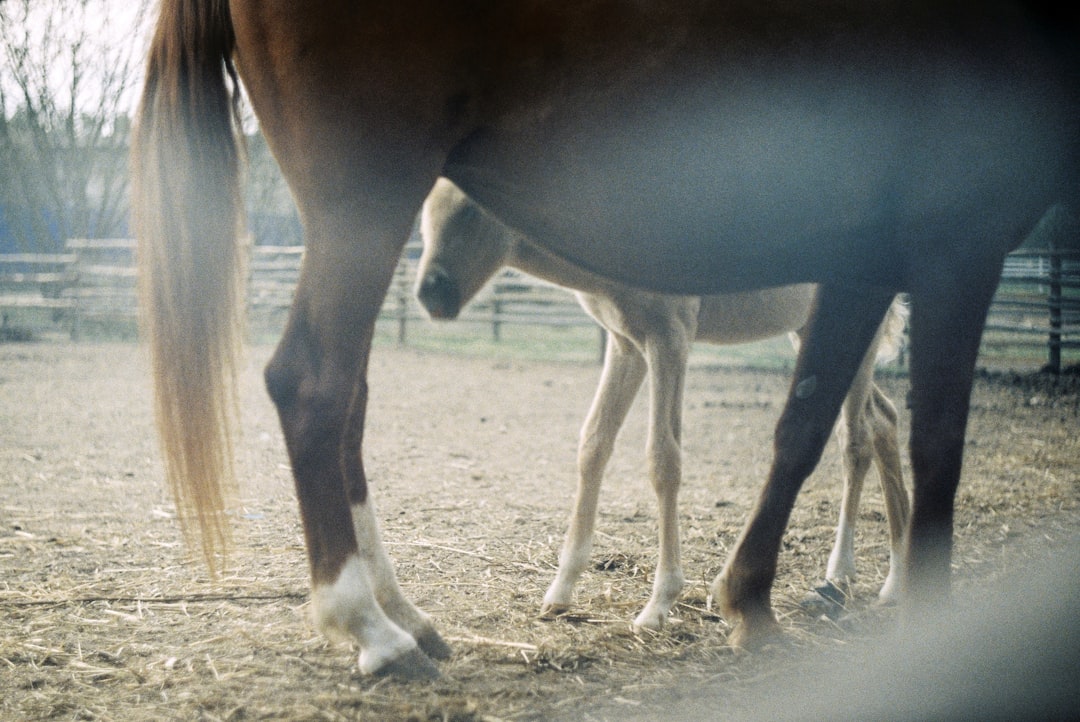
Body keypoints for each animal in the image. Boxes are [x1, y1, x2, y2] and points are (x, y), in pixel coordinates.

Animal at [416, 177, 910, 630]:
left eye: (470, 210)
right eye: (425, 210)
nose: (430, 293)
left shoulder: (670, 338)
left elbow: (663, 459)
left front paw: (658, 604)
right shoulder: (626, 345)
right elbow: (593, 445)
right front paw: (560, 591)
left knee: (857, 439)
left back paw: (842, 573)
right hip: (809, 331)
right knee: (884, 419)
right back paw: (898, 576)